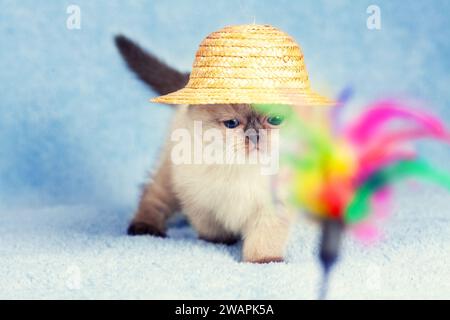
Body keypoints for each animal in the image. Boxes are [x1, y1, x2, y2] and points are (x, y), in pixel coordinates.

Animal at [115, 35, 296, 262]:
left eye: (275, 120)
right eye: (231, 123)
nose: (254, 135)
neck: (242, 169)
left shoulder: (273, 206)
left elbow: (264, 240)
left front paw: (263, 261)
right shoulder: (199, 200)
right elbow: (212, 228)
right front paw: (222, 241)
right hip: (168, 176)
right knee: (152, 197)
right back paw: (145, 228)